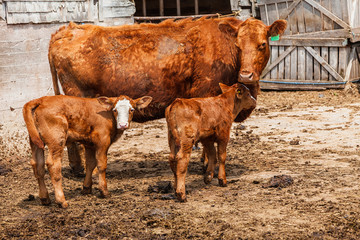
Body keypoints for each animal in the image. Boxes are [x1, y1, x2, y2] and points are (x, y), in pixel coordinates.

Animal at [22, 94, 152, 207]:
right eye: (115, 110)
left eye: (132, 109)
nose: (123, 124)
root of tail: (41, 99)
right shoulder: (102, 141)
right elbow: (101, 165)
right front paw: (104, 191)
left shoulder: (90, 144)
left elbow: (90, 164)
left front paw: (86, 188)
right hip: (56, 140)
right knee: (53, 165)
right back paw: (61, 201)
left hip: (35, 141)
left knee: (38, 166)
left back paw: (45, 198)